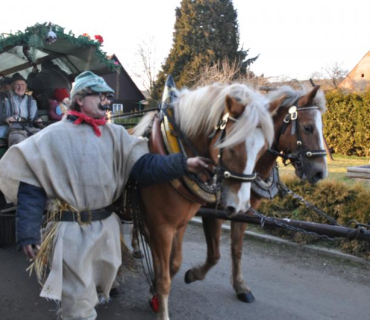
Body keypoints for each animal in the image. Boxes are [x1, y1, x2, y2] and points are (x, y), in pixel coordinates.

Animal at [131, 83, 280, 320]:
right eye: (231, 147)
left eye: (264, 149)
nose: (240, 206)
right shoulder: (161, 227)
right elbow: (165, 279)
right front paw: (161, 306)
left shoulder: (178, 224)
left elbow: (173, 265)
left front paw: (160, 288)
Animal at [184, 84, 326, 302]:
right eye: (308, 127)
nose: (320, 172)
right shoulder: (213, 209)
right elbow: (214, 252)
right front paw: (193, 273)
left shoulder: (243, 210)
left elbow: (237, 248)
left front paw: (240, 286)